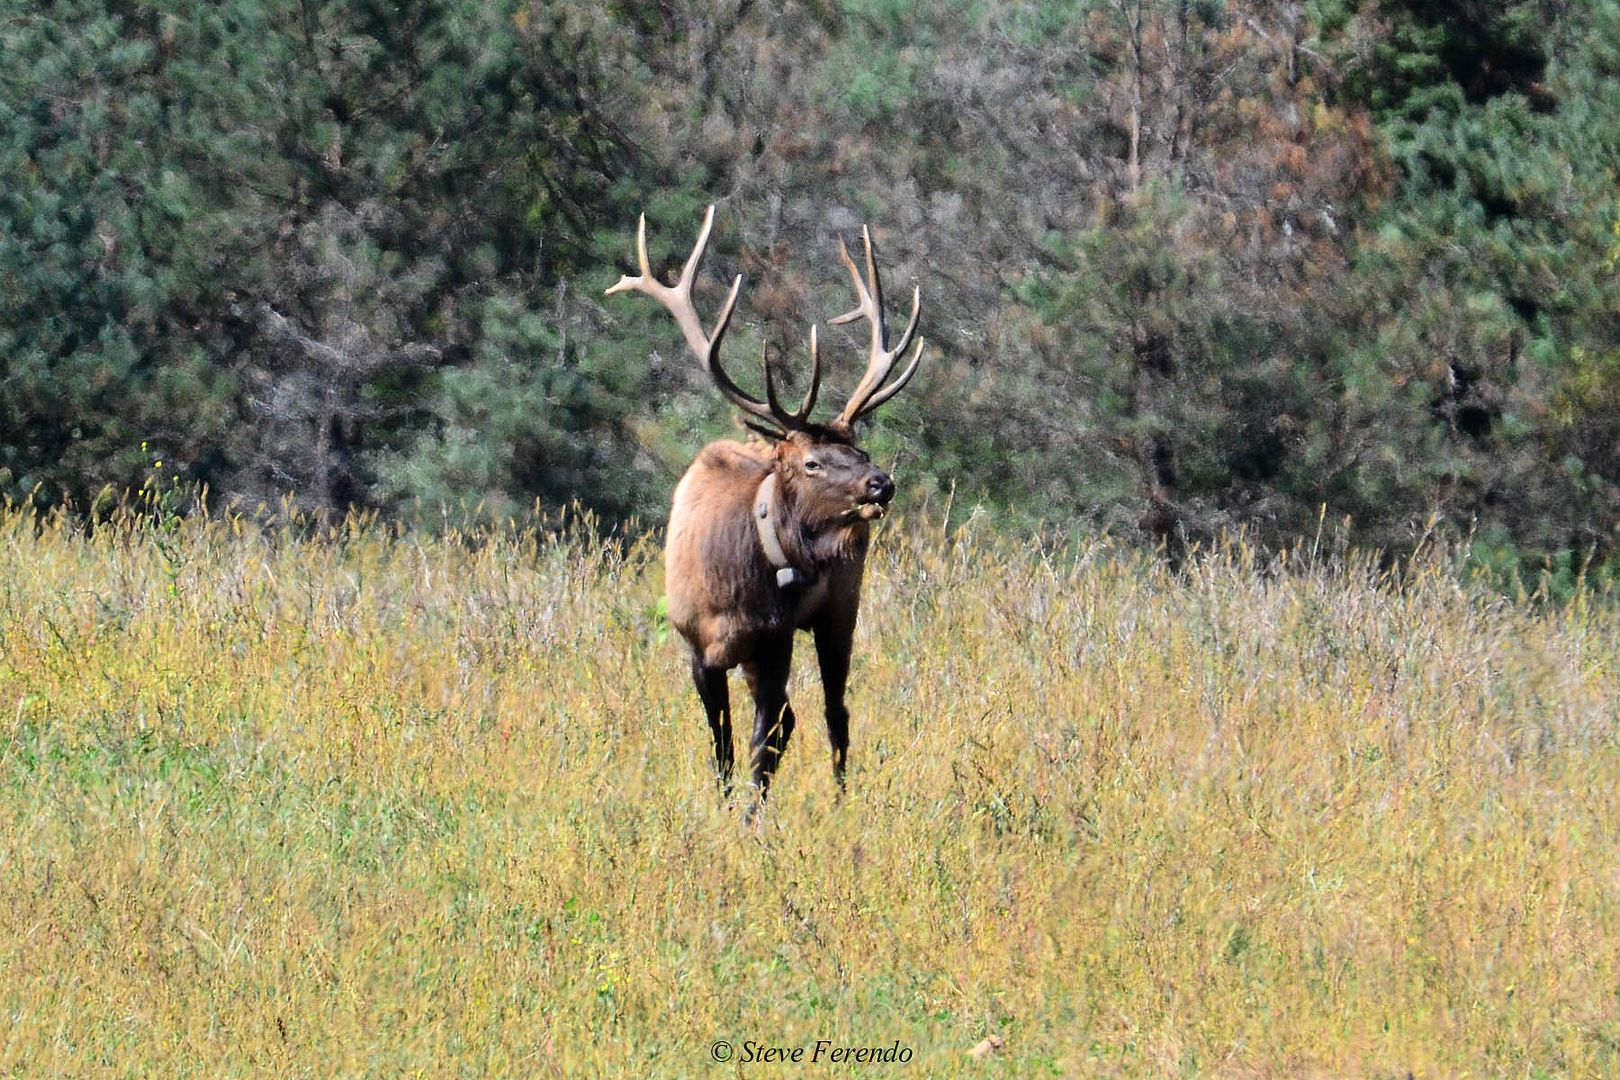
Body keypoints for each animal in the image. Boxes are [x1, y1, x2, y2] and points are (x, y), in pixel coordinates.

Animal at [606, 205, 924, 804]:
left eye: (860, 448)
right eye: (812, 462)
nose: (881, 484)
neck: (733, 587)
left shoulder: (774, 640)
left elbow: (762, 742)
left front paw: (753, 817)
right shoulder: (696, 646)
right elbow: (723, 745)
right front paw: (725, 806)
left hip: (840, 606)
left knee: (833, 712)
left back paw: (841, 799)